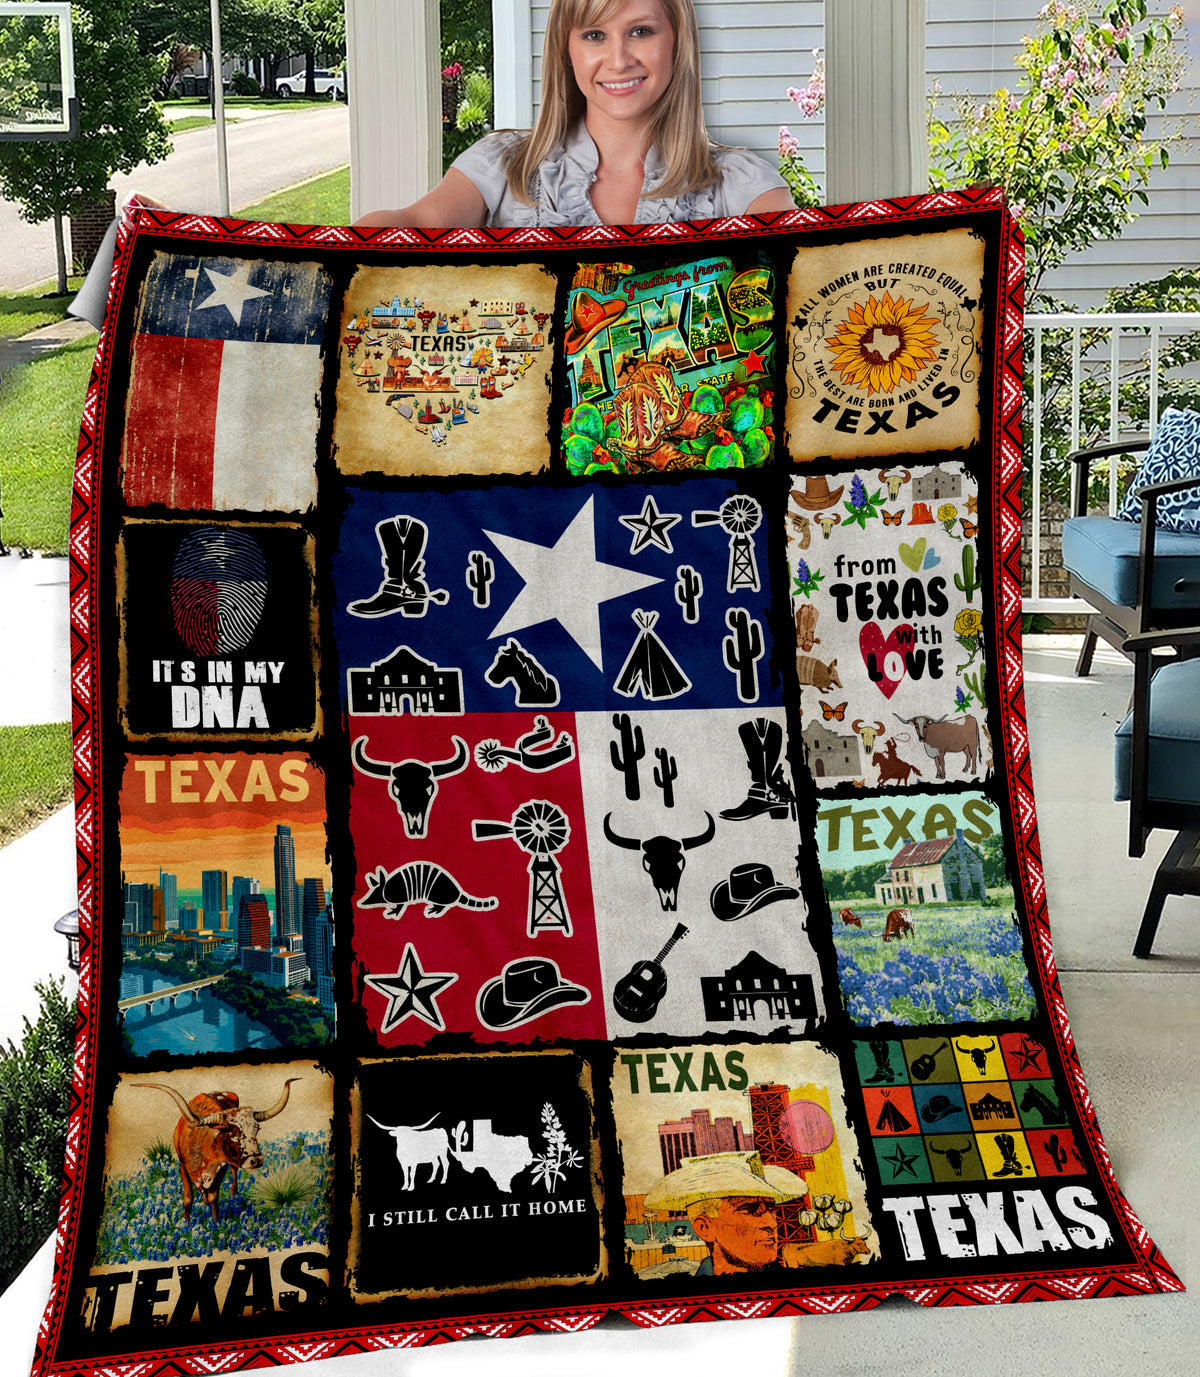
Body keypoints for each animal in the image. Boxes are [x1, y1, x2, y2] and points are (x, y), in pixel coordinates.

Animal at [132, 1079, 297, 1222]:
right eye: (233, 1132)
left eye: (257, 1129)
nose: (256, 1160)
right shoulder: (183, 1167)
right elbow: (188, 1199)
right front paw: (187, 1224)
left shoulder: (221, 1167)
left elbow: (214, 1197)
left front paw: (216, 1223)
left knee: (234, 1172)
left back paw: (233, 1194)